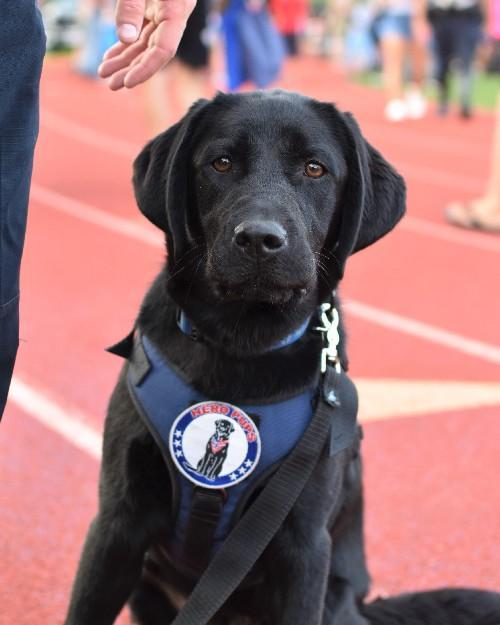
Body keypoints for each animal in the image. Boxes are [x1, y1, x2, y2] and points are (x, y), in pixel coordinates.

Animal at [64, 89, 498, 624]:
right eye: (221, 162)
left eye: (315, 169)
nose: (259, 239)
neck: (240, 345)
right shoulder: (117, 525)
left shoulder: (303, 547)